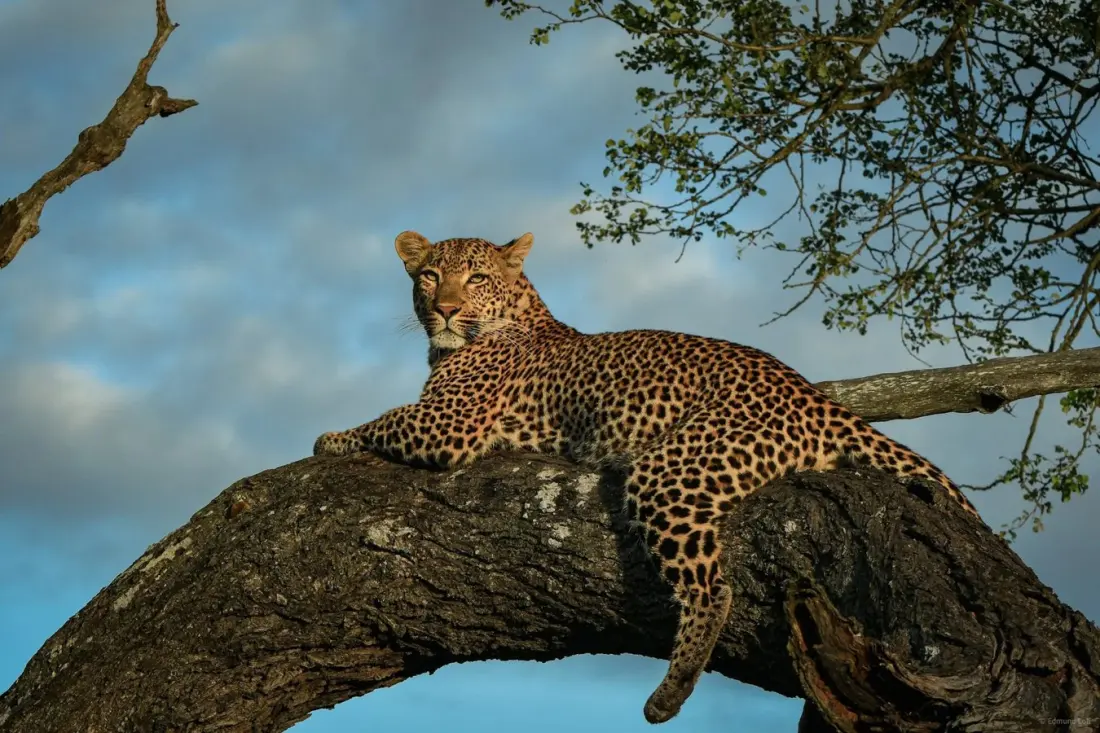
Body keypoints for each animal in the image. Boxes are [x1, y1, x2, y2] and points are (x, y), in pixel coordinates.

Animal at [313, 230, 981, 724]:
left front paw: (330, 439)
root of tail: (815, 397)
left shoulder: (446, 423)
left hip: (669, 471)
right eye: (429, 276)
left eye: (476, 278)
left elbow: (384, 418)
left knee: (713, 590)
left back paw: (669, 694)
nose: (446, 309)